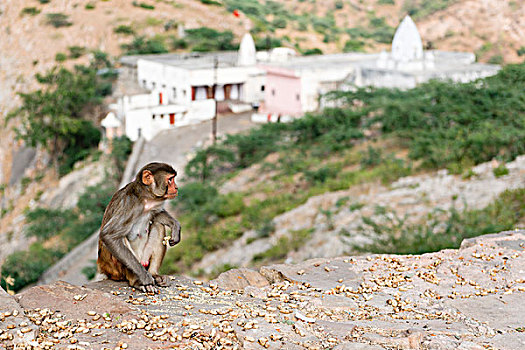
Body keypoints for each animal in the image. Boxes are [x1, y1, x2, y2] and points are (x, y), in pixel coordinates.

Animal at [97, 163, 181, 294]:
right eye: (170, 179)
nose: (176, 187)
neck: (145, 197)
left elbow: (157, 215)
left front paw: (175, 226)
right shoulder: (128, 204)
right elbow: (108, 235)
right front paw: (145, 279)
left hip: (144, 258)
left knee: (159, 225)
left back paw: (154, 274)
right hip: (115, 270)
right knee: (120, 238)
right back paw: (137, 281)